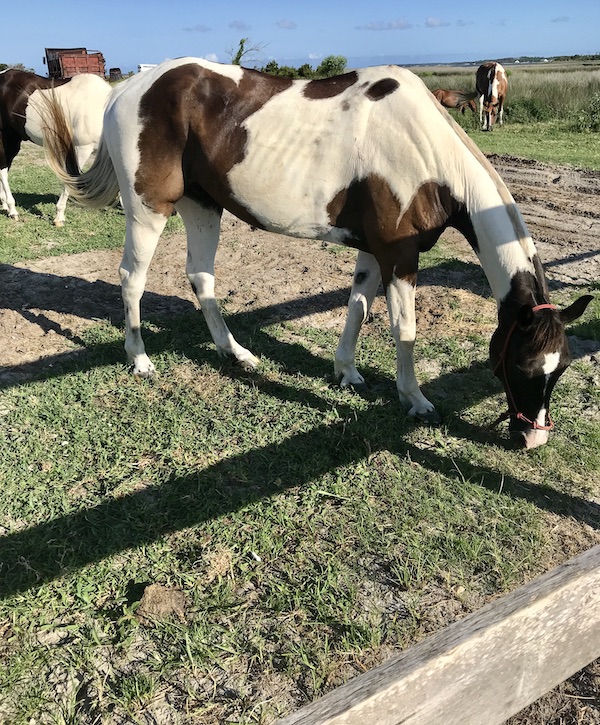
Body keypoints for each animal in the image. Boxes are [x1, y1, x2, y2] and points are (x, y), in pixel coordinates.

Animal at [0, 69, 111, 225]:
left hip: (14, 138)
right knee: (3, 170)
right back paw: (12, 209)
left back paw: (4, 204)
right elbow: (70, 180)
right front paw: (59, 217)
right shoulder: (81, 150)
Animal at [40, 58, 591, 449]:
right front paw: (413, 398)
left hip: (202, 205)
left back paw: (235, 353)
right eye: (523, 366)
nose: (533, 438)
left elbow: (357, 308)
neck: (423, 149)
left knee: (201, 277)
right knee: (131, 277)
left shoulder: (374, 251)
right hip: (149, 208)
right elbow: (404, 328)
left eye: (561, 367)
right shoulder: (399, 256)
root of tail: (127, 90)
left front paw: (345, 371)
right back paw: (139, 358)